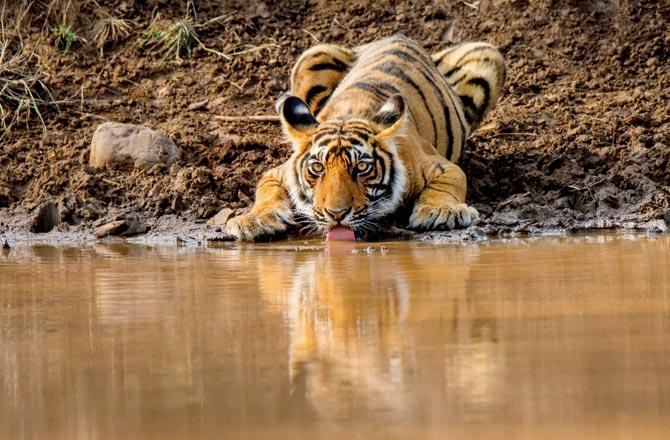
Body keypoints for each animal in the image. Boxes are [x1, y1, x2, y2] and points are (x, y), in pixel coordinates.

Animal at [223, 34, 506, 241]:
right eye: (317, 168)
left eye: (361, 168)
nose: (336, 214)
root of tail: (398, 35)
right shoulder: (278, 172)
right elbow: (266, 191)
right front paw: (255, 220)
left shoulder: (439, 165)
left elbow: (448, 184)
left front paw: (441, 212)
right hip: (313, 55)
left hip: (487, 54)